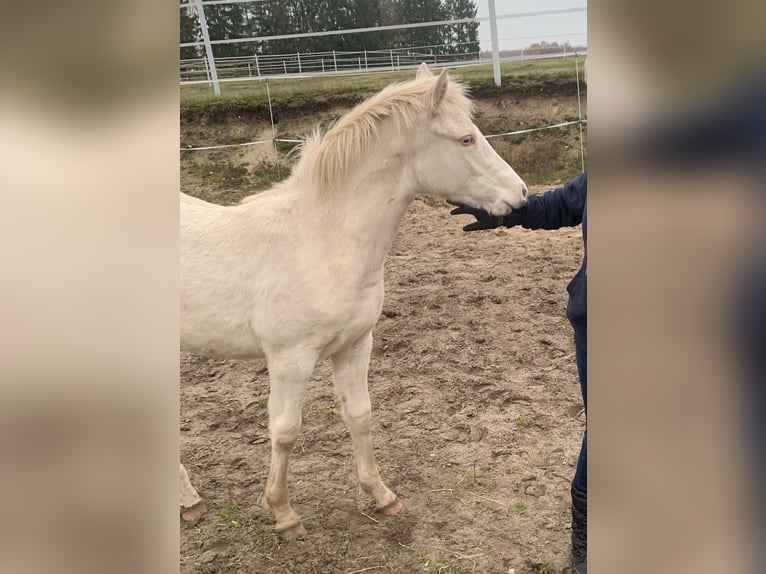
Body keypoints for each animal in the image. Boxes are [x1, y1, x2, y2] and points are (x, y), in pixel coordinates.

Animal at [180, 65, 528, 544]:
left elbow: (360, 416)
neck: (323, 240)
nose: (521, 195)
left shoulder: (355, 345)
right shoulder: (290, 360)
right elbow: (285, 432)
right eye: (465, 139)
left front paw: (382, 496)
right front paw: (284, 514)